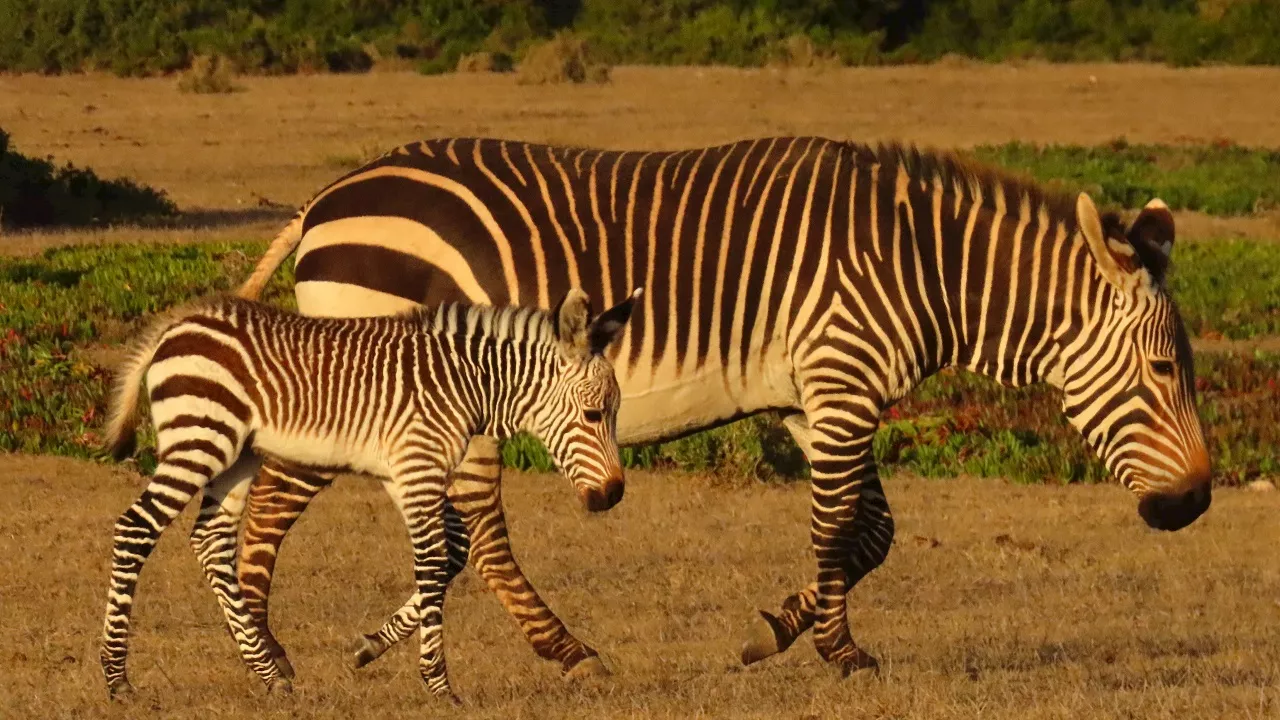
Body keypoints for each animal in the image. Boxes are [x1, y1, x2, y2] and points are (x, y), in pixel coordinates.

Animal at [99, 286, 640, 702]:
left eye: (613, 413)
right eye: (594, 415)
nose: (613, 495)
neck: (465, 385)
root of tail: (177, 324)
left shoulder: (406, 474)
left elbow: (452, 553)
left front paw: (369, 647)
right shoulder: (417, 466)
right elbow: (432, 561)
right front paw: (438, 685)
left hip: (237, 455)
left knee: (210, 541)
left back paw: (269, 674)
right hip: (201, 437)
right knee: (136, 527)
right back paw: (117, 678)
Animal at [232, 134, 1208, 676]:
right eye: (1165, 369)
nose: (1196, 503)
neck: (921, 264)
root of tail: (328, 198)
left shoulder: (816, 398)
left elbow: (871, 532)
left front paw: (778, 630)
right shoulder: (841, 380)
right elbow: (839, 528)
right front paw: (839, 651)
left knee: (469, 532)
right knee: (295, 505)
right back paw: (272, 653)